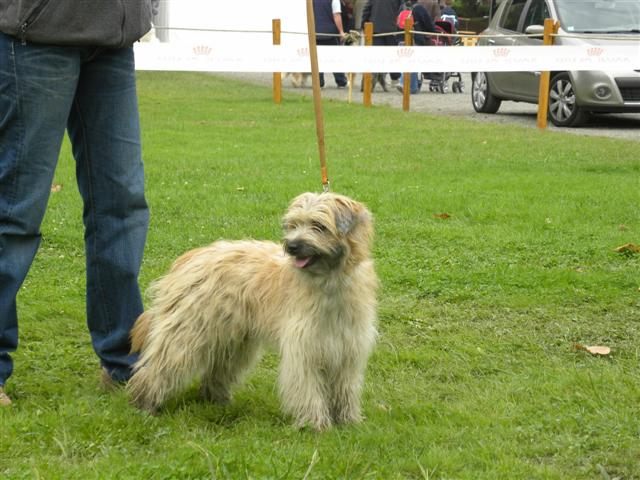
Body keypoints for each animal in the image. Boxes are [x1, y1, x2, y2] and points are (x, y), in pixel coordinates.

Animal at [128, 192, 378, 432]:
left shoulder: (348, 348)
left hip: (234, 341)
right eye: (293, 225)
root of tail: (190, 258)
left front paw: (348, 420)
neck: (330, 283)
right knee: (161, 366)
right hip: (188, 332)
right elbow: (308, 387)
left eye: (318, 225)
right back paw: (145, 403)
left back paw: (217, 401)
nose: (292, 246)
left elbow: (346, 387)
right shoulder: (303, 347)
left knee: (217, 370)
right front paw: (315, 425)